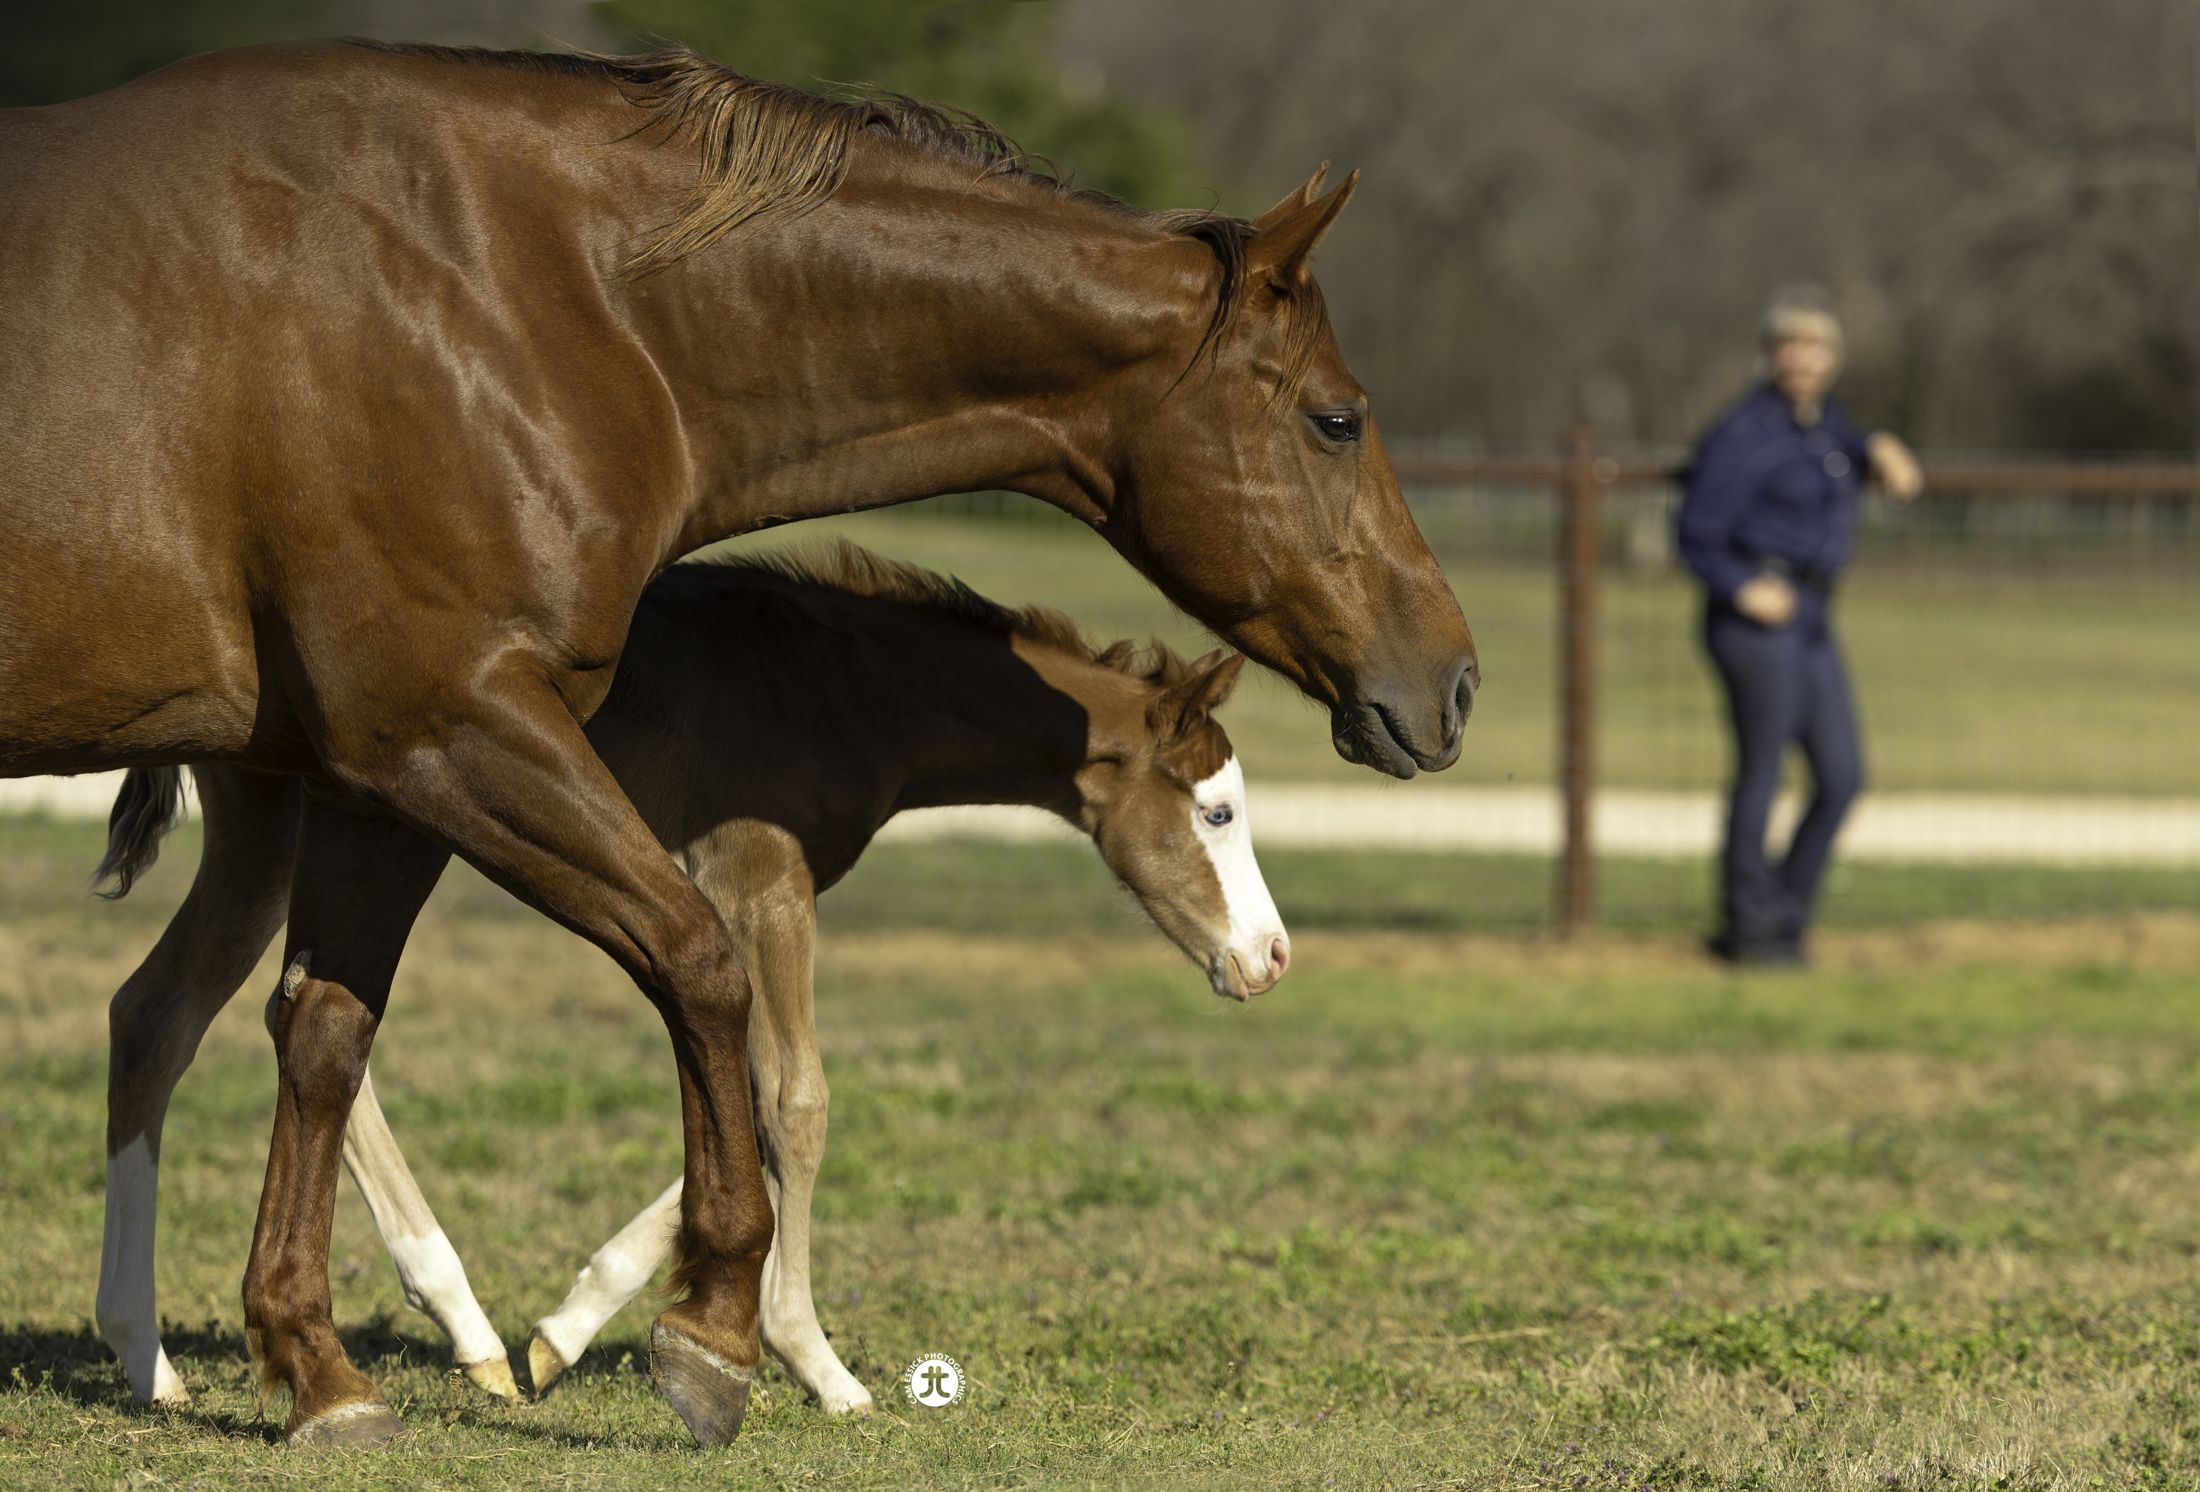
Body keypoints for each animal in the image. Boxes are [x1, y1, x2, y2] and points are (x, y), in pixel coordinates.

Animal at [91, 542, 1284, 1416]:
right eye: (1217, 811)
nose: (1268, 959)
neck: (843, 686)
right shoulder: (757, 880)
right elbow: (795, 1101)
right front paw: (814, 1363)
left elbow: (751, 1100)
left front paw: (570, 1328)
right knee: (275, 1017)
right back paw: (435, 1318)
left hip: (279, 833)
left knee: (176, 1011)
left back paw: (161, 1356)